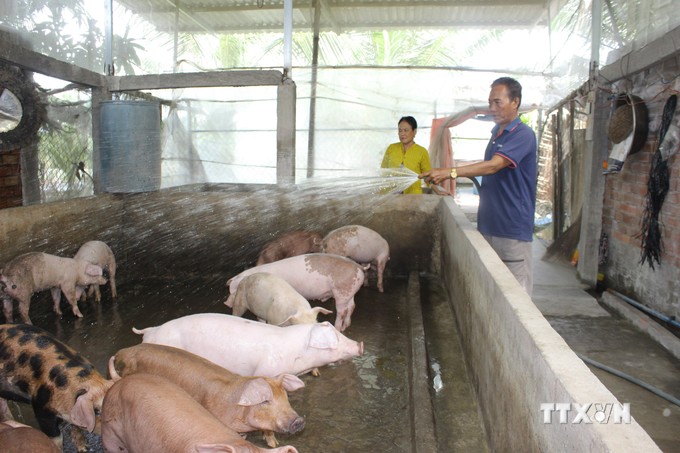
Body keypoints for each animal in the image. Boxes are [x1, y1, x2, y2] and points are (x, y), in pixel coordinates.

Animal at [101, 370, 298, 452]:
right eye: (265, 401)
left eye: (286, 396)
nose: (299, 421)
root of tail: (120, 381)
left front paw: (273, 443)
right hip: (110, 432)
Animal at [226, 252, 366, 330]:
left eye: (233, 290)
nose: (226, 303)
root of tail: (358, 266)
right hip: (350, 291)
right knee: (352, 306)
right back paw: (347, 325)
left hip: (341, 291)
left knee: (342, 311)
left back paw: (338, 328)